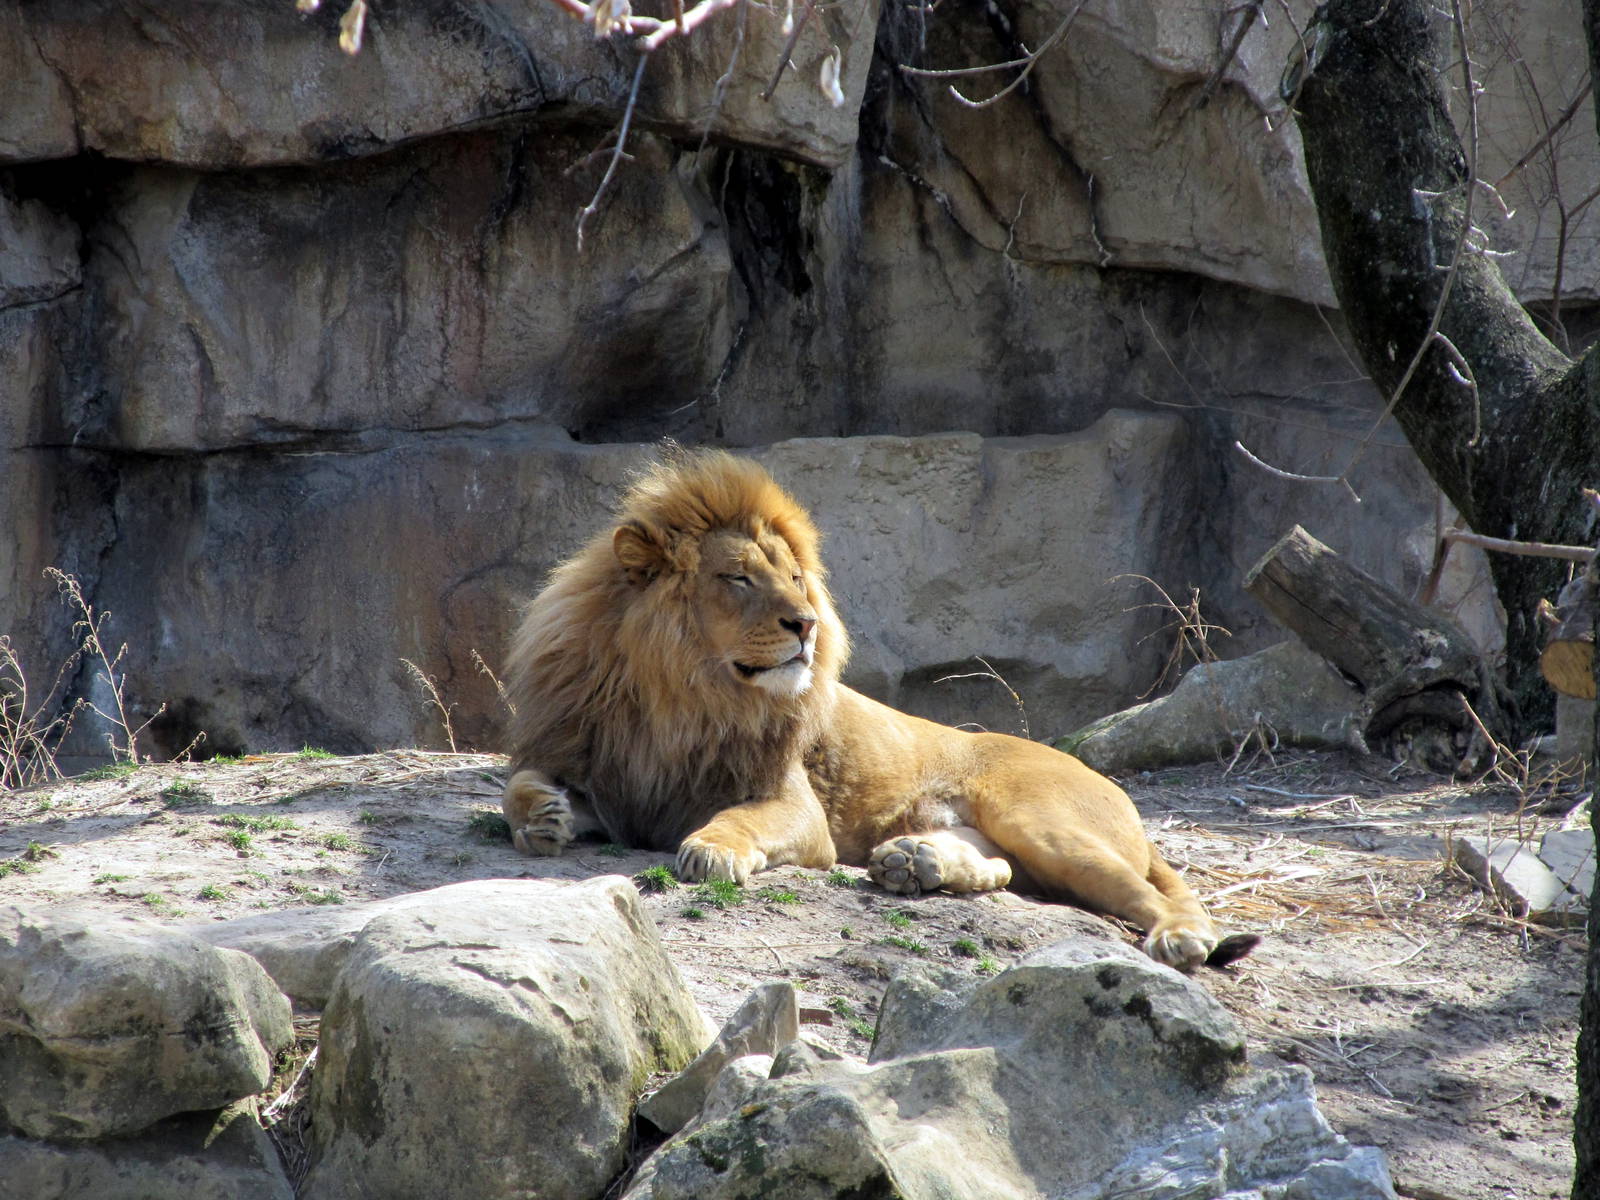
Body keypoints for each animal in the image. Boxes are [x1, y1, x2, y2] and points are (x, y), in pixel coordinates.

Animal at [503, 450, 1255, 971]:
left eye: (795, 577)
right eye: (738, 577)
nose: (805, 624)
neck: (681, 698)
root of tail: (1114, 789)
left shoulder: (798, 811)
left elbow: (740, 818)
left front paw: (710, 849)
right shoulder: (603, 767)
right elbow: (517, 785)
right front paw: (543, 817)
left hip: (1044, 821)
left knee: (1155, 893)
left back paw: (1181, 938)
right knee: (1006, 871)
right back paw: (915, 864)